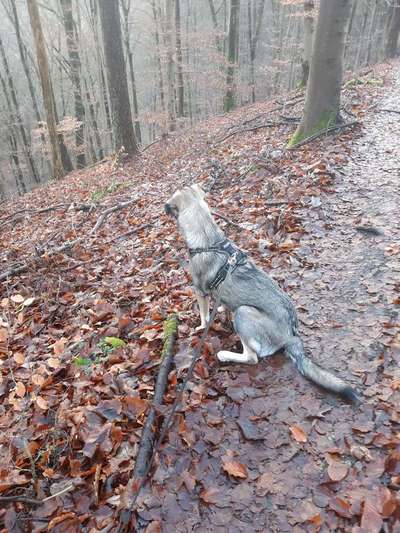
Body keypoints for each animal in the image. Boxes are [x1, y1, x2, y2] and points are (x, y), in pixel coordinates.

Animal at [166, 182, 360, 400]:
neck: (208, 239)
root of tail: (292, 336)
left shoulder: (199, 292)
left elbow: (204, 316)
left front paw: (201, 327)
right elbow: (222, 304)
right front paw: (221, 310)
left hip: (243, 313)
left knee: (252, 358)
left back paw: (225, 355)